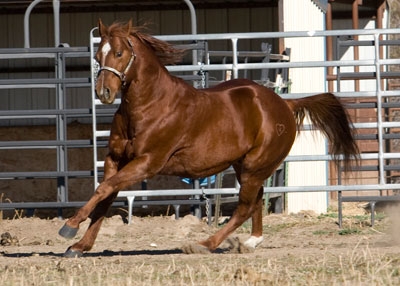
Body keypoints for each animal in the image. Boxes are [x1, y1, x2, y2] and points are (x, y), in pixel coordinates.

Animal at [58, 20, 360, 256]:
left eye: (120, 53)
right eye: (98, 56)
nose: (104, 92)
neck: (150, 105)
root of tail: (285, 104)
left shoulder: (146, 163)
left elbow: (103, 190)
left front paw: (69, 227)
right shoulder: (115, 159)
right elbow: (105, 195)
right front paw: (79, 246)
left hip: (254, 167)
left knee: (245, 207)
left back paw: (204, 244)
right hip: (244, 166)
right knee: (256, 201)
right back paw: (250, 242)